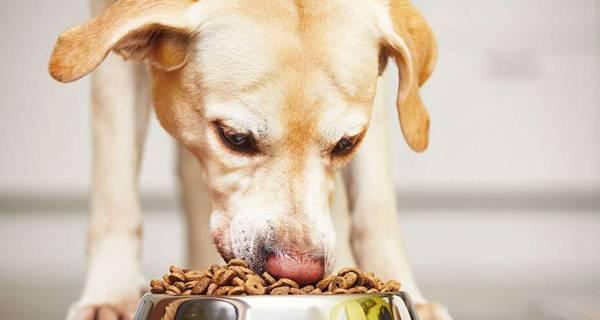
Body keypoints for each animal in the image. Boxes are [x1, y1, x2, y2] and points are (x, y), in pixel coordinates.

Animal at [50, 0, 450, 320]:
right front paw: (110, 296)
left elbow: (375, 210)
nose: (298, 271)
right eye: (235, 138)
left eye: (346, 144)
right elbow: (115, 196)